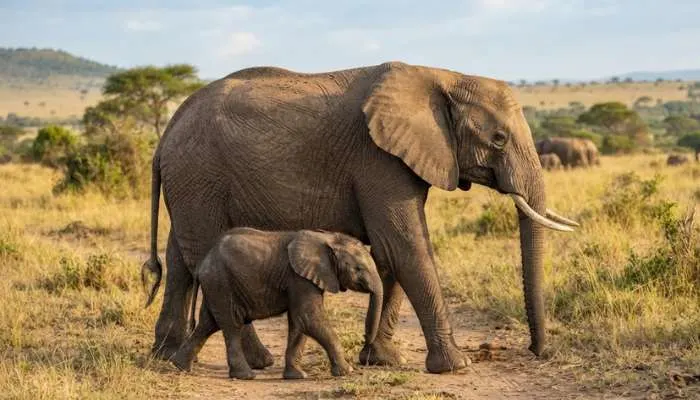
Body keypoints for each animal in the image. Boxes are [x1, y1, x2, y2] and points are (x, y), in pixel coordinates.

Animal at [169, 228, 383, 380]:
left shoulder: (302, 280)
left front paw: (297, 376)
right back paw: (246, 376)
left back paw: (179, 366)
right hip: (220, 283)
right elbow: (308, 318)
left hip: (216, 285)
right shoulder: (299, 278)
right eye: (358, 269)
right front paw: (347, 371)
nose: (365, 340)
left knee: (208, 324)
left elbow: (299, 323)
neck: (328, 238)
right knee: (231, 325)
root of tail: (202, 264)